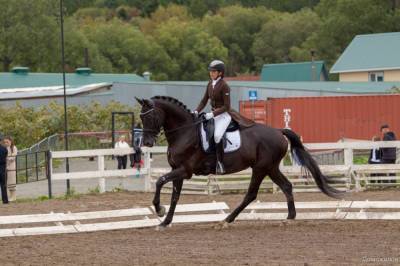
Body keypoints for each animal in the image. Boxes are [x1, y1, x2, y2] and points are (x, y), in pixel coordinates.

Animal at [136, 96, 342, 228]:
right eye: (141, 117)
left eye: (151, 116)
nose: (147, 143)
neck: (184, 132)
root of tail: (278, 131)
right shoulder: (177, 170)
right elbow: (175, 196)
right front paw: (165, 221)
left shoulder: (185, 170)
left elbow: (160, 181)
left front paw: (159, 210)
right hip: (271, 167)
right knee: (286, 186)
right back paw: (289, 217)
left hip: (260, 168)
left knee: (251, 194)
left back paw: (227, 220)